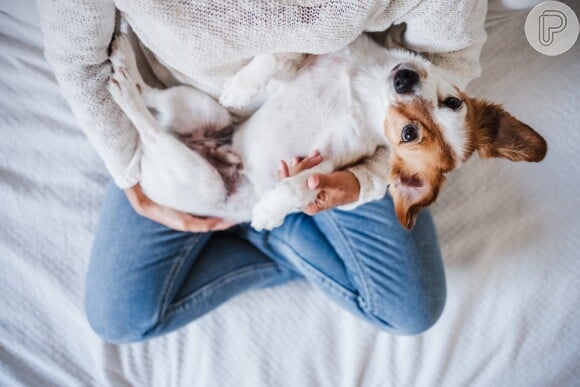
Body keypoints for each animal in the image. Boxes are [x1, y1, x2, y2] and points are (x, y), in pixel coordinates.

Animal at [106, 32, 548, 230]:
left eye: (407, 135)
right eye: (452, 102)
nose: (404, 78)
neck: (366, 87)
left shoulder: (326, 161)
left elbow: (297, 186)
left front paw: (269, 211)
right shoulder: (303, 63)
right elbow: (278, 55)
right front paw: (243, 86)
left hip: (201, 175)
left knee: (148, 124)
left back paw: (123, 81)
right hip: (205, 110)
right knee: (151, 101)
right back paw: (124, 62)